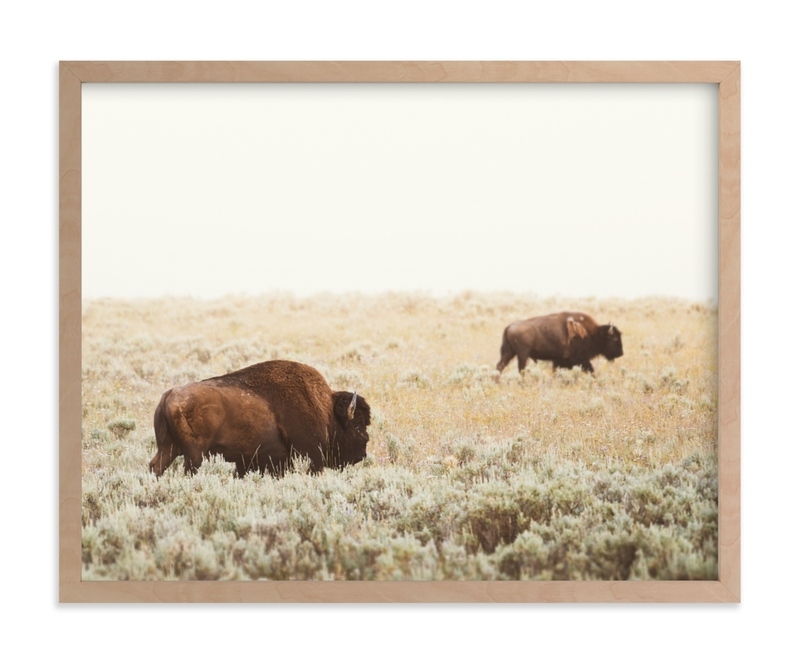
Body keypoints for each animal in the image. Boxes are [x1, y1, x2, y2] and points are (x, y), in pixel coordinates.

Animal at [149, 360, 371, 478]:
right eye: (357, 426)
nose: (362, 455)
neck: (326, 411)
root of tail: (169, 395)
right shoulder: (310, 456)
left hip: (168, 448)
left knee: (155, 466)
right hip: (194, 454)